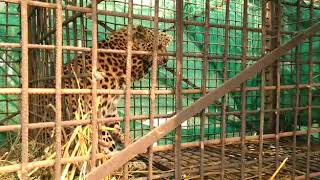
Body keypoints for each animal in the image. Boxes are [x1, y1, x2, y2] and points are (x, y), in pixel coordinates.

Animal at [34, 25, 172, 156]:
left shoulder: (111, 108)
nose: (167, 60)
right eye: (159, 47)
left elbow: (116, 127)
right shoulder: (91, 111)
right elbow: (107, 140)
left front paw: (128, 141)